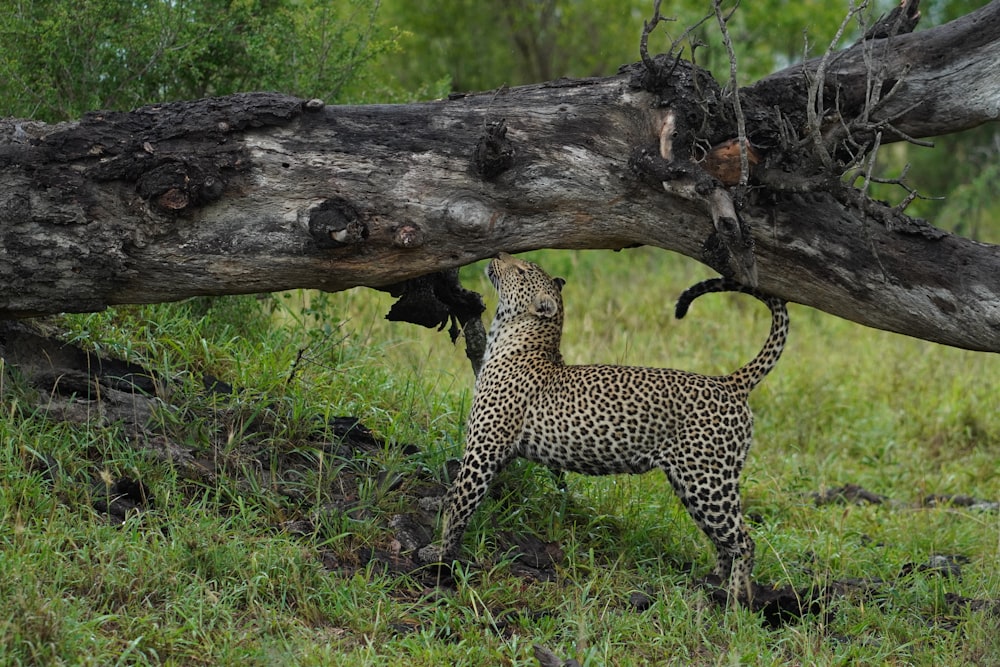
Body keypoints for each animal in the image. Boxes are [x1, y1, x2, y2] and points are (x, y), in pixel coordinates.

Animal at [416, 252, 788, 604]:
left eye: (521, 270)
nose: (498, 254)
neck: (509, 338)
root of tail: (729, 382)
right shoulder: (496, 451)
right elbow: (455, 491)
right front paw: (434, 507)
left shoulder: (485, 449)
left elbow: (461, 502)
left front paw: (438, 552)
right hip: (693, 483)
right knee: (724, 540)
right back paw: (713, 583)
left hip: (708, 480)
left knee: (744, 541)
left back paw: (735, 599)